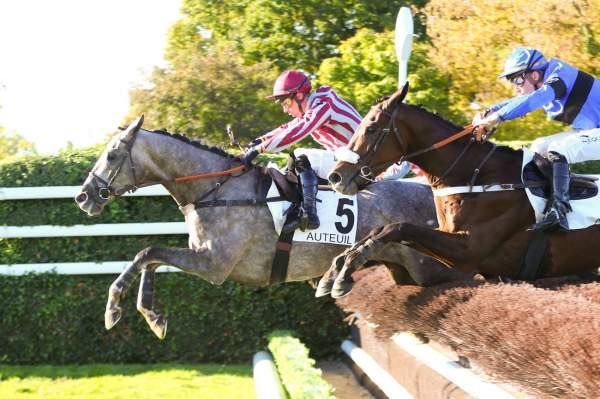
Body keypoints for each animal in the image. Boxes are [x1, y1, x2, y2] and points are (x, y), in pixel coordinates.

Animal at [75, 116, 466, 340]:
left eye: (112, 155)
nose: (83, 196)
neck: (216, 190)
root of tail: (433, 194)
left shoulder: (214, 264)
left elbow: (148, 252)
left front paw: (115, 308)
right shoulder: (203, 256)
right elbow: (149, 257)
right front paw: (152, 315)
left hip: (435, 269)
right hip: (405, 271)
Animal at [326, 83, 600, 296]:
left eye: (371, 128)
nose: (335, 176)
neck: (477, 177)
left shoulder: (468, 251)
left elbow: (399, 227)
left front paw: (346, 269)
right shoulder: (449, 236)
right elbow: (384, 229)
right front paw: (336, 269)